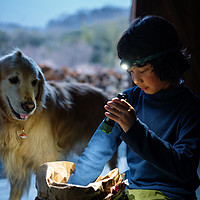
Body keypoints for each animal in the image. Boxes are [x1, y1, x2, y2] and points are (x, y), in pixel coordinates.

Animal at [0, 50, 115, 200]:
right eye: (13, 79)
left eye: (34, 82)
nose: (30, 107)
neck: (19, 124)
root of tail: (104, 94)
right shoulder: (17, 165)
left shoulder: (46, 157)